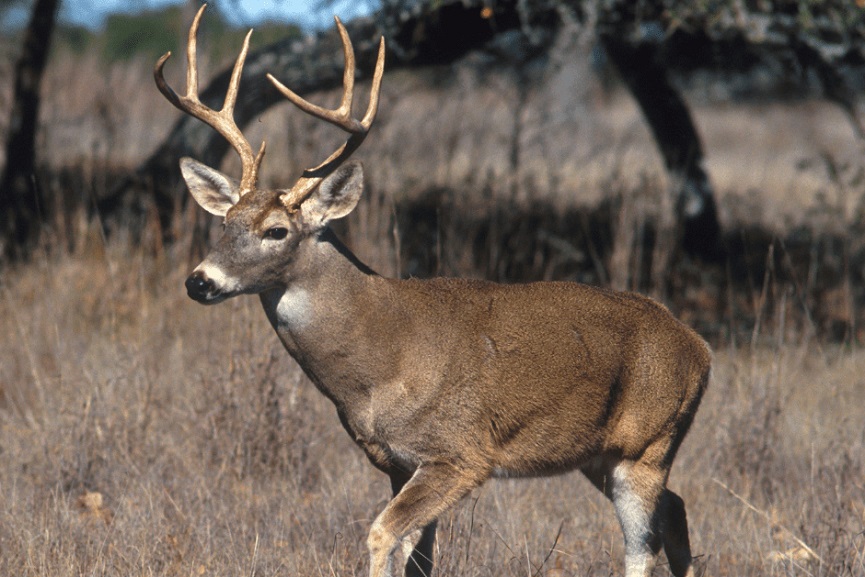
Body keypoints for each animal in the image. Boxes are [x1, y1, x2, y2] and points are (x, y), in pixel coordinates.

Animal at [155, 5, 711, 577]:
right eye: (225, 223)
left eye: (276, 231)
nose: (200, 280)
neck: (378, 362)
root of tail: (699, 347)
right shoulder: (396, 462)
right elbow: (417, 555)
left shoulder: (459, 453)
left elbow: (382, 535)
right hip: (598, 454)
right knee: (676, 509)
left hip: (647, 443)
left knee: (642, 543)